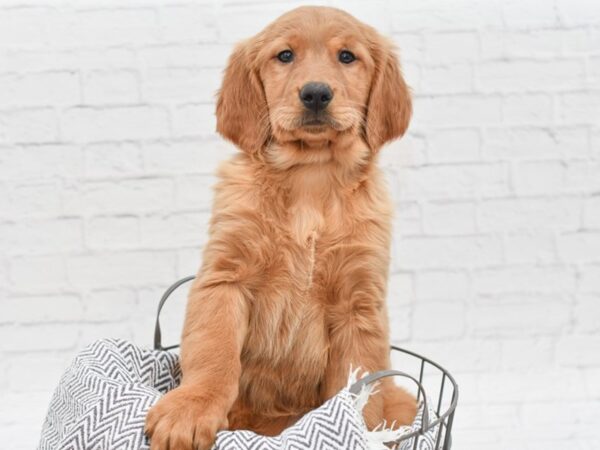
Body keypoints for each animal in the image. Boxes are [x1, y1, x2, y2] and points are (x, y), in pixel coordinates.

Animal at [146, 6, 418, 450]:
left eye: (347, 56)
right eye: (285, 55)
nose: (316, 93)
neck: (311, 178)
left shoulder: (358, 304)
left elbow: (357, 384)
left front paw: (357, 430)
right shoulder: (225, 278)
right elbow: (213, 352)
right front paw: (191, 409)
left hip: (404, 399)